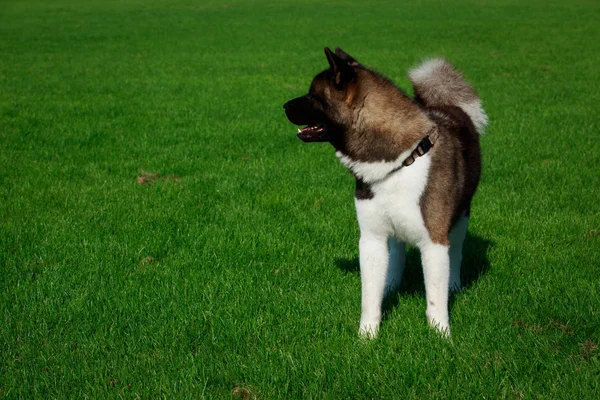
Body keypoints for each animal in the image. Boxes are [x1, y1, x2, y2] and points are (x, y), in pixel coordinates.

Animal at [284, 47, 486, 338]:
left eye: (312, 96)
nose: (284, 106)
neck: (400, 163)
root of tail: (448, 106)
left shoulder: (434, 242)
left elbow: (434, 298)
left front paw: (441, 335)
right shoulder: (371, 239)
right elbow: (369, 296)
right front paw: (367, 337)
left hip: (461, 218)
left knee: (456, 251)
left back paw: (453, 285)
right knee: (398, 251)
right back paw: (391, 285)